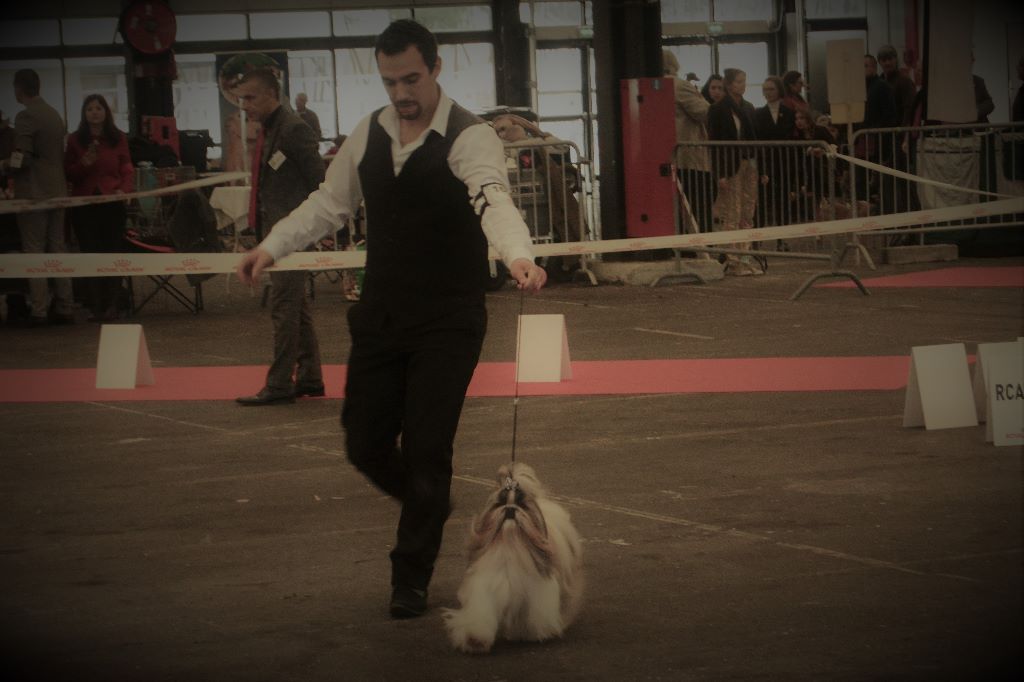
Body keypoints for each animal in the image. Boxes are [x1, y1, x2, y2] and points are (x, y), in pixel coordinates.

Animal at [442, 458, 581, 651]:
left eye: (522, 505)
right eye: (500, 503)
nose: (510, 508)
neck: (510, 548)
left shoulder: (535, 591)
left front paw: (531, 633)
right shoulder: (488, 586)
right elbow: (482, 612)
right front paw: (475, 639)